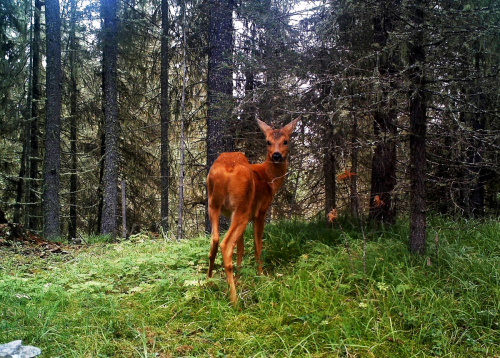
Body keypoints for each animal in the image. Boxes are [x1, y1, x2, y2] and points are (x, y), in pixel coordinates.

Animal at [208, 117, 300, 304]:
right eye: (268, 141)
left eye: (286, 141)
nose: (277, 155)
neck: (269, 179)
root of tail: (226, 171)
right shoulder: (260, 212)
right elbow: (258, 245)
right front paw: (261, 275)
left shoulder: (233, 215)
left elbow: (241, 248)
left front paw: (239, 276)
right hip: (241, 208)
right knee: (226, 244)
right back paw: (235, 300)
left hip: (213, 204)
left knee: (214, 239)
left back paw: (207, 283)